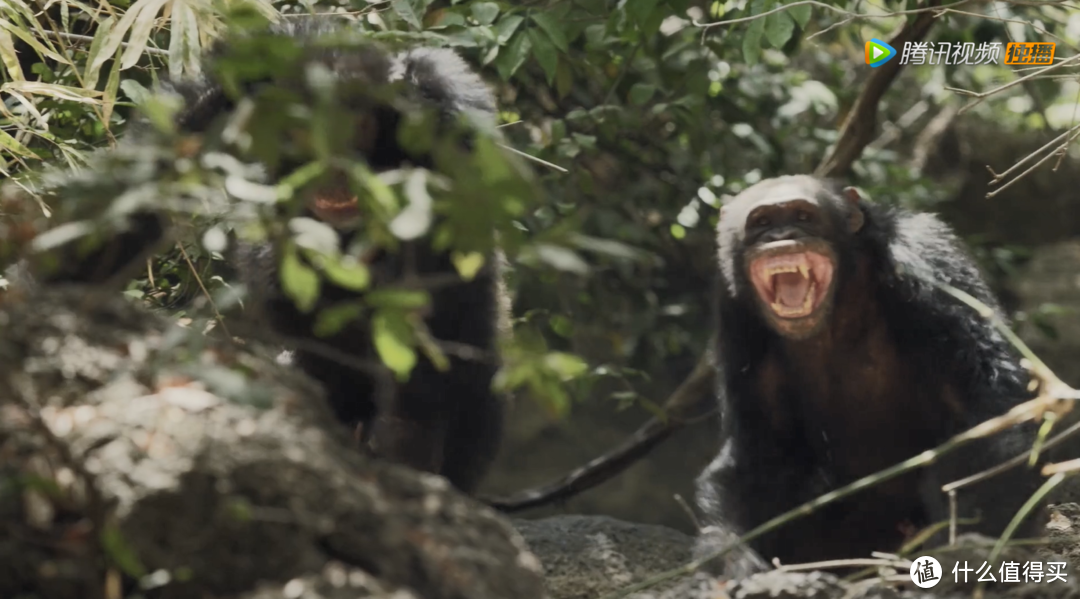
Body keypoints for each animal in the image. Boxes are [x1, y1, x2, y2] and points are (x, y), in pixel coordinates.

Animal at [21, 17, 509, 496]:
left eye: (352, 125)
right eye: (302, 128)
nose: (333, 168)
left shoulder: (446, 110)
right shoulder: (218, 93)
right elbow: (143, 183)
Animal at [695, 174, 1049, 578]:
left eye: (803, 215)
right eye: (762, 222)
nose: (781, 235)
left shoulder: (926, 262)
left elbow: (988, 409)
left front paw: (967, 545)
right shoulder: (734, 312)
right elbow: (761, 450)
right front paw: (729, 557)